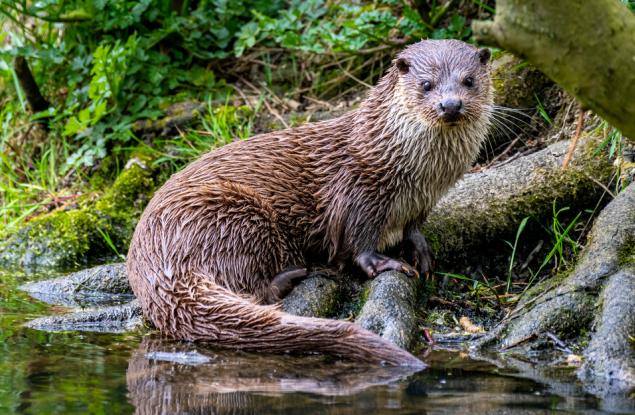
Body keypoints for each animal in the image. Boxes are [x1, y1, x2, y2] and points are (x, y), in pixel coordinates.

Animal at [129, 40, 494, 368]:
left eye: (469, 81)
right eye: (426, 84)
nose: (450, 104)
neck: (410, 174)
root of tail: (154, 260)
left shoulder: (421, 202)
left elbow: (414, 228)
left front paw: (421, 252)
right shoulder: (358, 191)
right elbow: (358, 242)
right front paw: (384, 263)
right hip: (234, 214)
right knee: (253, 289)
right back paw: (293, 275)